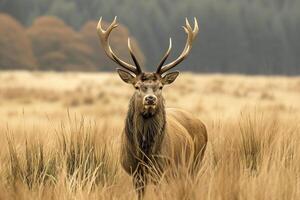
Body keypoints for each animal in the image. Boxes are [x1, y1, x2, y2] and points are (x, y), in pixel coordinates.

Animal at [97, 16, 207, 198]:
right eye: (137, 86)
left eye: (160, 86)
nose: (150, 99)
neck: (145, 153)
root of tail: (201, 123)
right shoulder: (135, 172)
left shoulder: (161, 170)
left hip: (194, 163)